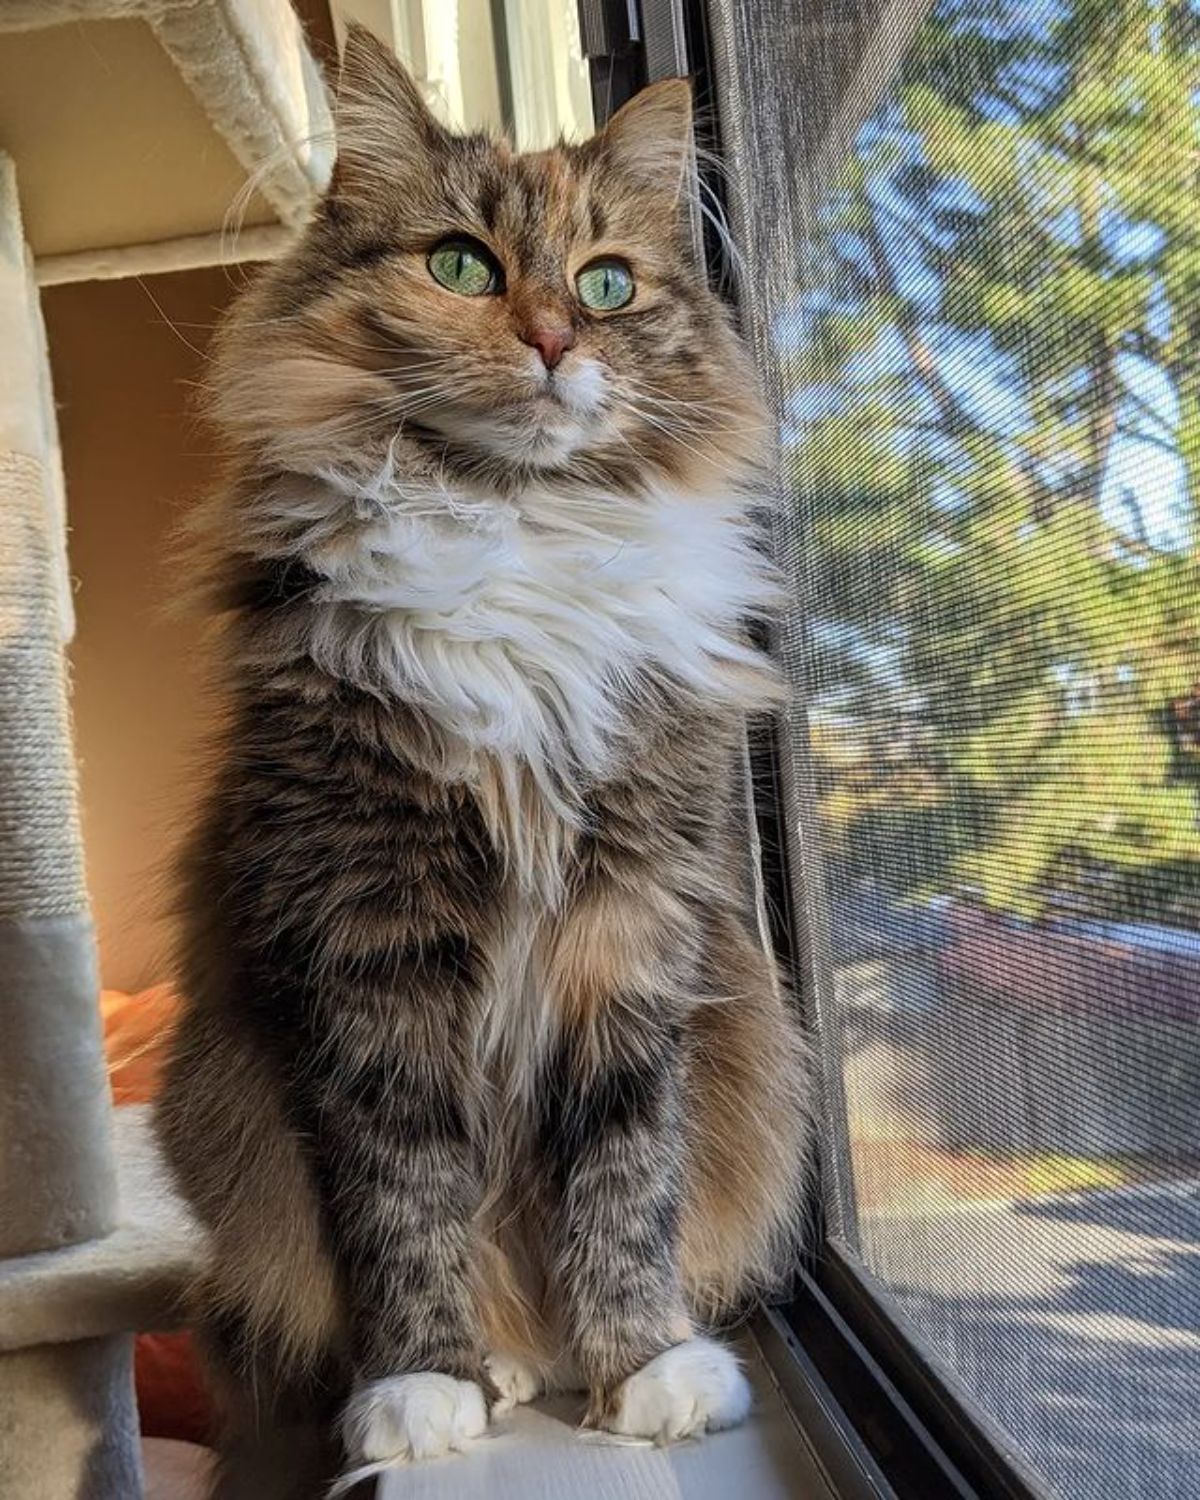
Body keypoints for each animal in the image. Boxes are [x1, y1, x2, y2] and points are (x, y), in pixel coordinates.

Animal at [156, 26, 804, 1500]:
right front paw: (425, 1386)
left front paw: (645, 1369)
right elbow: (405, 1200)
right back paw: (496, 1367)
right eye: (461, 264)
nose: (557, 339)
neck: (515, 528)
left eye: (607, 282)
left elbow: (627, 1176)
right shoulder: (364, 943)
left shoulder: (632, 923)